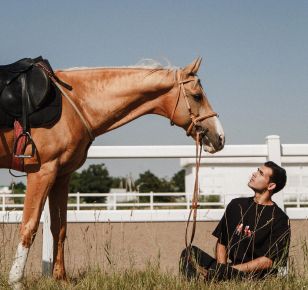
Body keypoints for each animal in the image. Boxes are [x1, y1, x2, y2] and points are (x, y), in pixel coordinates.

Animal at [1, 56, 224, 288]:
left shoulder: (62, 175)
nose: (220, 137)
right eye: (197, 96)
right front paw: (16, 281)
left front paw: (61, 279)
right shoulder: (42, 172)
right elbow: (29, 226)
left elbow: (58, 229)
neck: (74, 103)